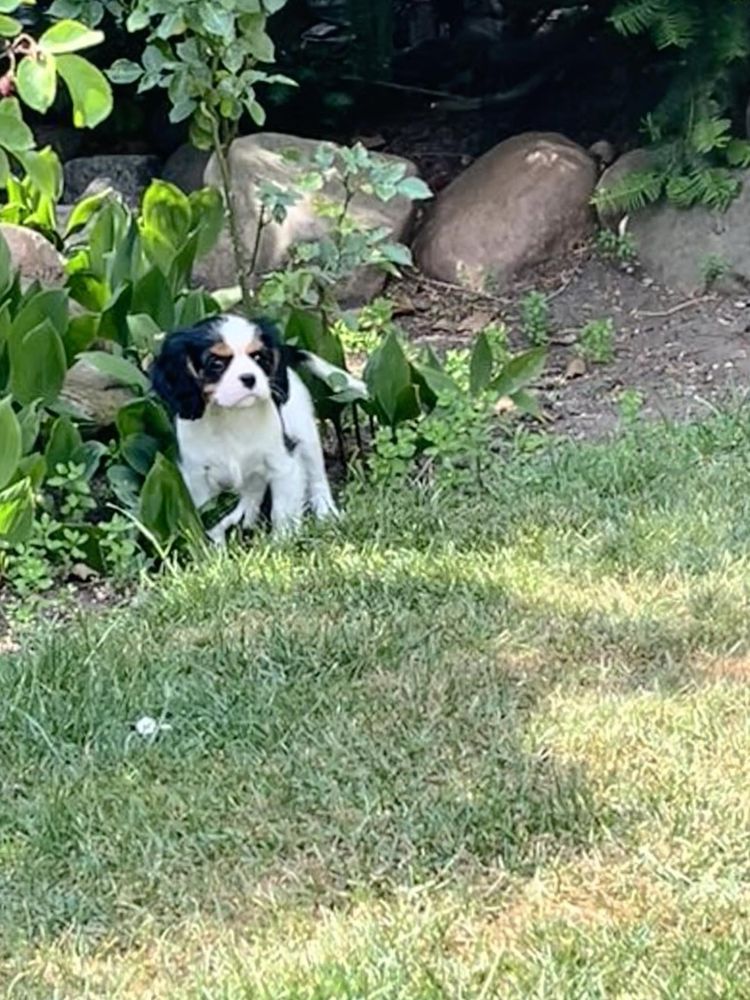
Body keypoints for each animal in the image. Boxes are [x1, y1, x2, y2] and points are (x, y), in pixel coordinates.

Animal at [151, 316, 368, 544]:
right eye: (216, 363)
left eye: (258, 357)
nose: (249, 377)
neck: (231, 417)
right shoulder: (197, 477)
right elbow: (210, 518)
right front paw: (217, 549)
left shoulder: (283, 464)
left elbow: (281, 511)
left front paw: (282, 543)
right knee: (253, 491)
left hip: (307, 435)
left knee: (317, 479)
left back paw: (326, 513)